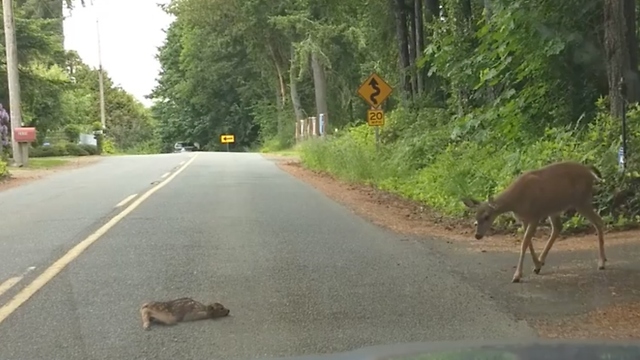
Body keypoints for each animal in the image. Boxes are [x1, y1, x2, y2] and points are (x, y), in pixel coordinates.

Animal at [460, 161, 604, 284]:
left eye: (487, 217)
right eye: (476, 218)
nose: (477, 235)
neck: (516, 201)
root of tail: (590, 172)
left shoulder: (535, 216)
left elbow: (524, 243)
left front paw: (517, 275)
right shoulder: (525, 219)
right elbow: (528, 242)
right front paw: (536, 265)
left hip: (581, 200)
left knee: (598, 221)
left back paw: (602, 262)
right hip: (555, 208)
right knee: (558, 227)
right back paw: (541, 262)